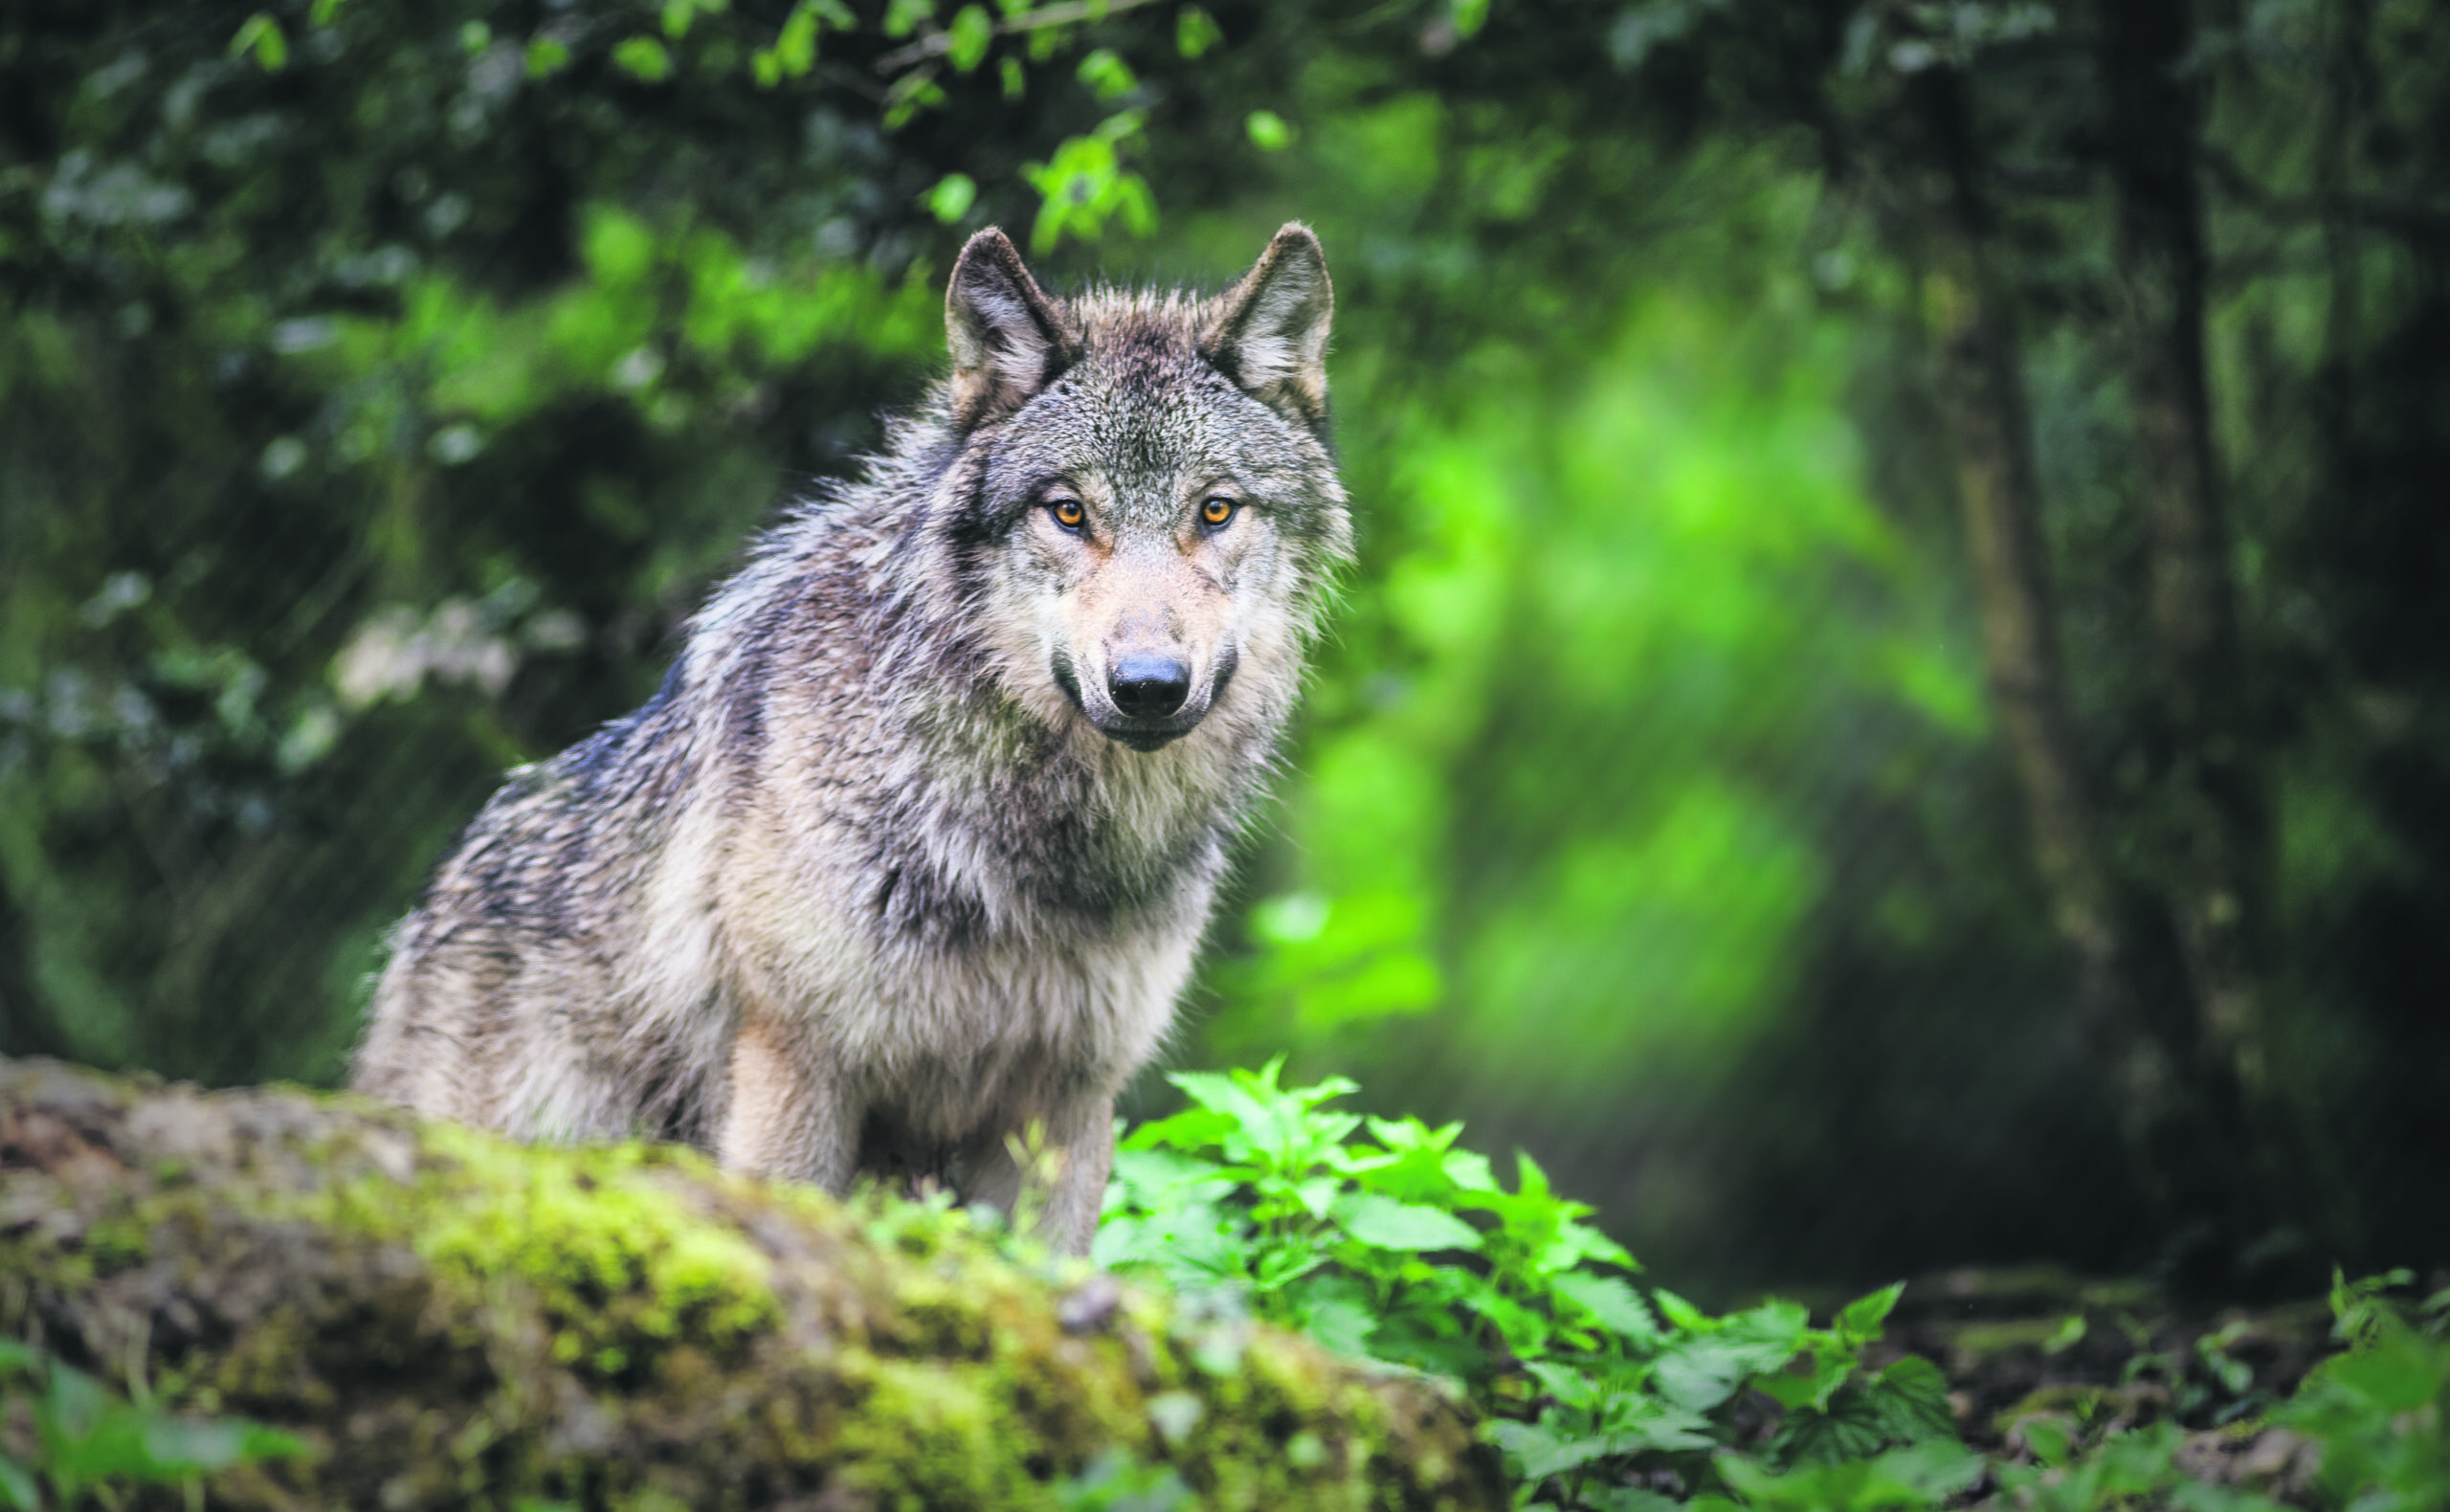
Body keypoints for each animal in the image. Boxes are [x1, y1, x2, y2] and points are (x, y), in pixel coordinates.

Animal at [350, 224, 1348, 1253]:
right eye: (1068, 511)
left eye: (1216, 510)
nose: (1148, 687)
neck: (1033, 853)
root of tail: (433, 906)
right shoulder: (796, 1068)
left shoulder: (1066, 1103)